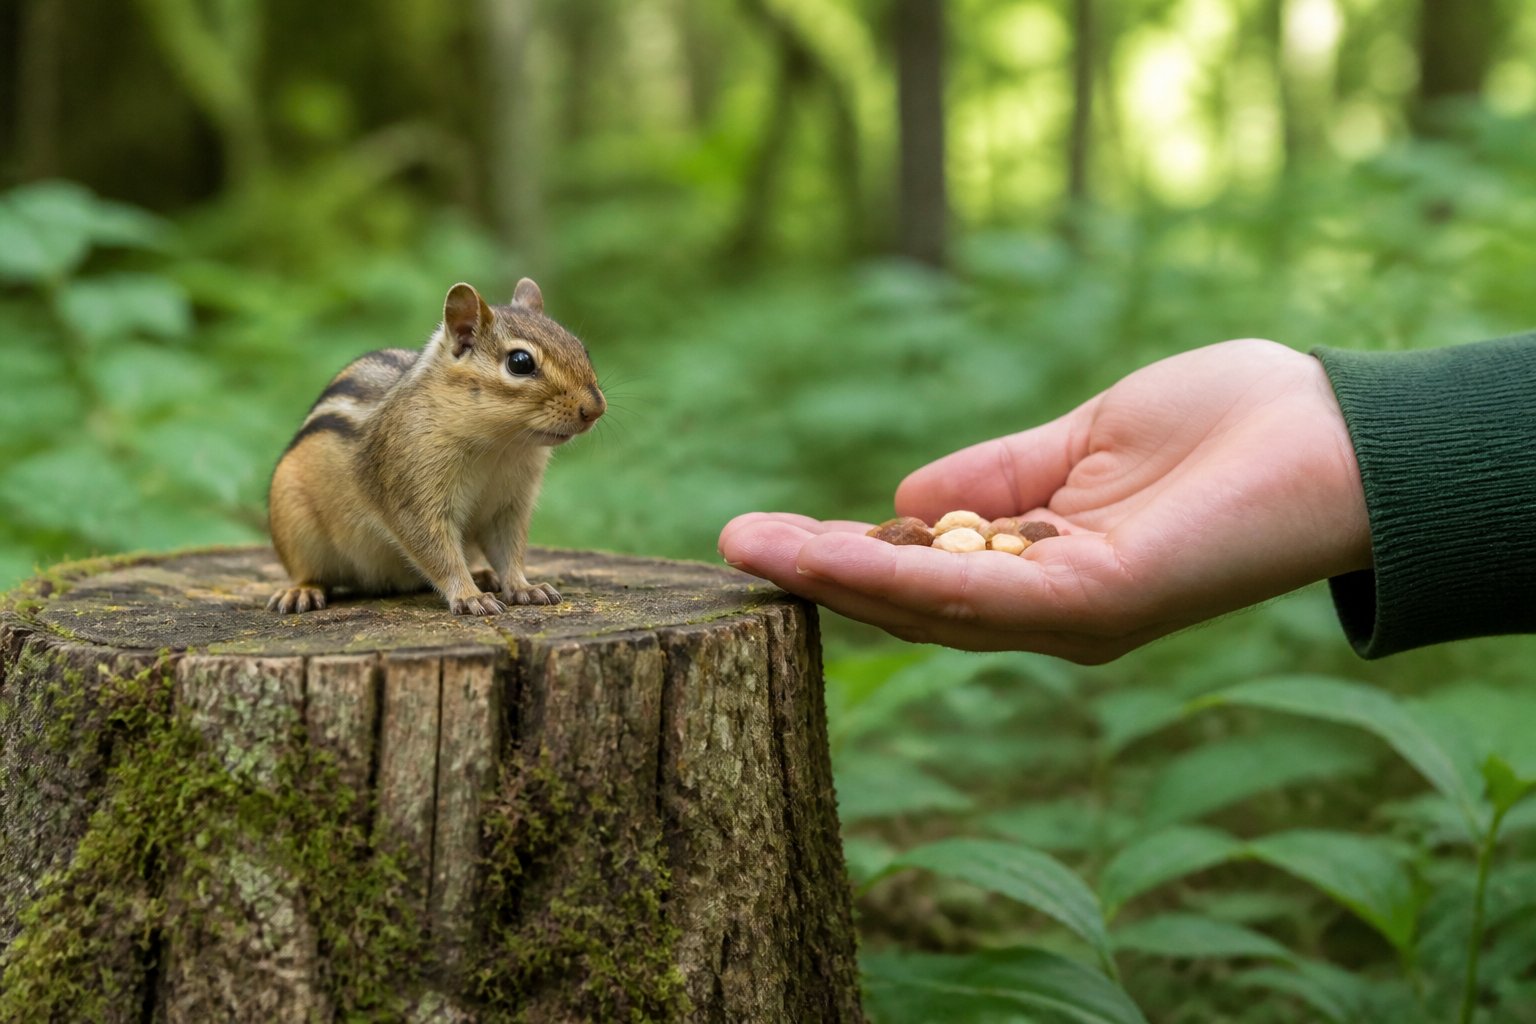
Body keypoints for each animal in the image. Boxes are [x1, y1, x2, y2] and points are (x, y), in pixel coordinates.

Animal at [266, 278, 605, 616]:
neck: (499, 446)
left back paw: (483, 574)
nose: (596, 408)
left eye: (581, 348)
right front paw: (470, 597)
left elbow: (510, 551)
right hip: (294, 523)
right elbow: (438, 552)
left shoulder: (509, 505)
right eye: (520, 363)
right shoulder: (412, 494)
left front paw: (524, 587)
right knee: (308, 572)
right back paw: (301, 591)